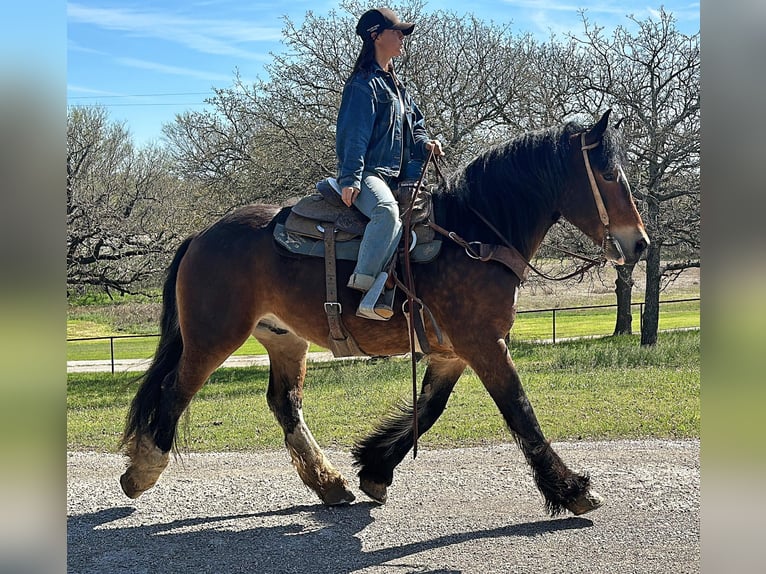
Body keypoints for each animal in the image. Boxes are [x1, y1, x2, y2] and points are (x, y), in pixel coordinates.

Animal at [120, 111, 648, 516]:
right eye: (608, 175)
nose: (639, 243)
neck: (473, 236)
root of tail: (202, 235)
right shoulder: (483, 343)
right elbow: (520, 411)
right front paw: (571, 489)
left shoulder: (452, 352)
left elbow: (429, 409)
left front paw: (375, 468)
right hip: (213, 336)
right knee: (175, 390)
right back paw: (142, 472)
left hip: (284, 339)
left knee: (284, 404)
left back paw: (328, 482)